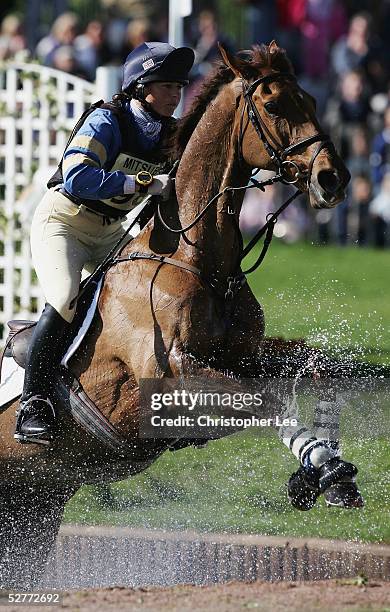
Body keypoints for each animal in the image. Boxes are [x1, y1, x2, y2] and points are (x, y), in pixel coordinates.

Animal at [0, 43, 354, 588]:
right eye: (275, 105)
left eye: (312, 100)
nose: (332, 178)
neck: (197, 261)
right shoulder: (171, 376)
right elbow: (268, 399)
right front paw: (321, 471)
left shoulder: (245, 356)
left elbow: (317, 372)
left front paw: (328, 476)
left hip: (34, 504)